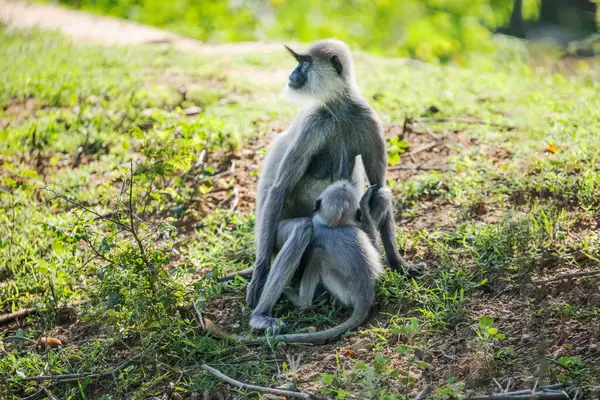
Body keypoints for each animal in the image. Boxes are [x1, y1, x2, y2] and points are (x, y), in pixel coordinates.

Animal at [246, 38, 424, 310]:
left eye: (303, 63)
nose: (292, 74)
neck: (340, 109)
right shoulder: (313, 122)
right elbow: (280, 188)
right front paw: (259, 275)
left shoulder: (368, 118)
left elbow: (378, 182)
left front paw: (398, 264)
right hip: (276, 237)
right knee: (301, 229)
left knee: (381, 193)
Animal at [250, 179, 384, 344]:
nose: (344, 183)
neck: (335, 225)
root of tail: (364, 294)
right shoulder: (357, 229)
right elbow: (375, 247)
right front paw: (364, 202)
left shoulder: (316, 229)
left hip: (341, 286)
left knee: (317, 256)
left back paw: (300, 301)